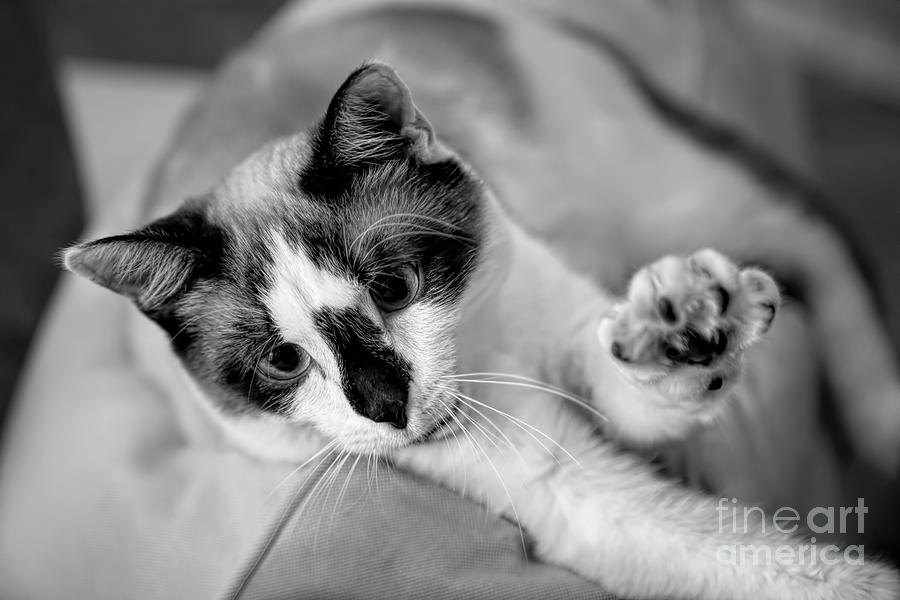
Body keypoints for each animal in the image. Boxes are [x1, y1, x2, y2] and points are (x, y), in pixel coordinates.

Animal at [65, 62, 900, 600]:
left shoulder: (571, 323)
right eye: (283, 360)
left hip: (677, 202)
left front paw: (689, 325)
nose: (385, 406)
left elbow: (645, 382)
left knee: (813, 232)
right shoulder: (563, 491)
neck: (492, 358)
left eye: (393, 289)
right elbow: (758, 561)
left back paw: (881, 419)